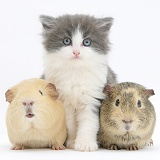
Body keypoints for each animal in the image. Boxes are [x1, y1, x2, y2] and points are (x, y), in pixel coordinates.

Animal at [39, 14, 117, 151]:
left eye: (86, 42)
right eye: (66, 41)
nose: (76, 52)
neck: (75, 73)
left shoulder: (92, 99)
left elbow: (89, 123)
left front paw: (86, 144)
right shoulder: (65, 102)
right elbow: (71, 124)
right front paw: (72, 142)